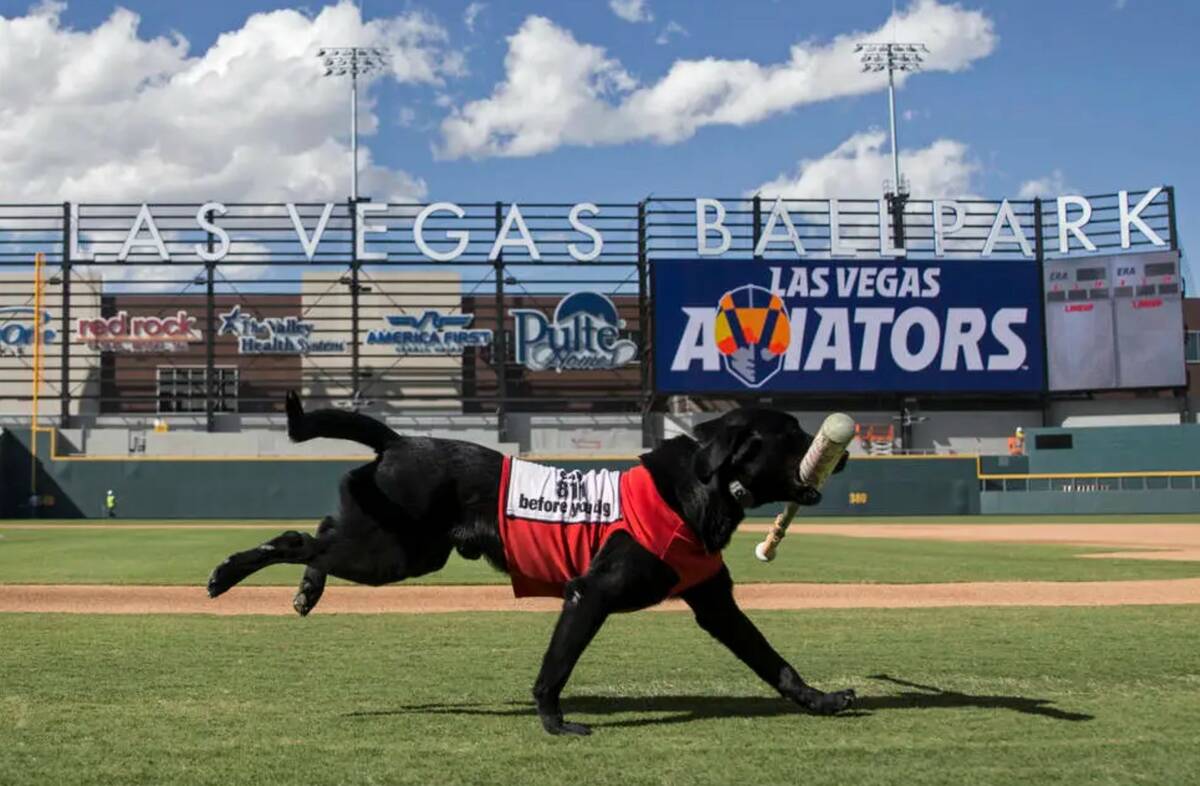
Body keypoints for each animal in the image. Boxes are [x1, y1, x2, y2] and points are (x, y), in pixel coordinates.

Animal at [206, 393, 854, 739]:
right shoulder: (589, 595)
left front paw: (821, 700)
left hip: (400, 553)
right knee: (297, 538)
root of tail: (398, 441)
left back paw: (306, 591)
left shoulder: (717, 606)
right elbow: (555, 669)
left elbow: (774, 662)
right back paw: (226, 574)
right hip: (391, 554)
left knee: (318, 532)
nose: (842, 453)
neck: (697, 491)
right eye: (792, 434)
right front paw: (554, 723)